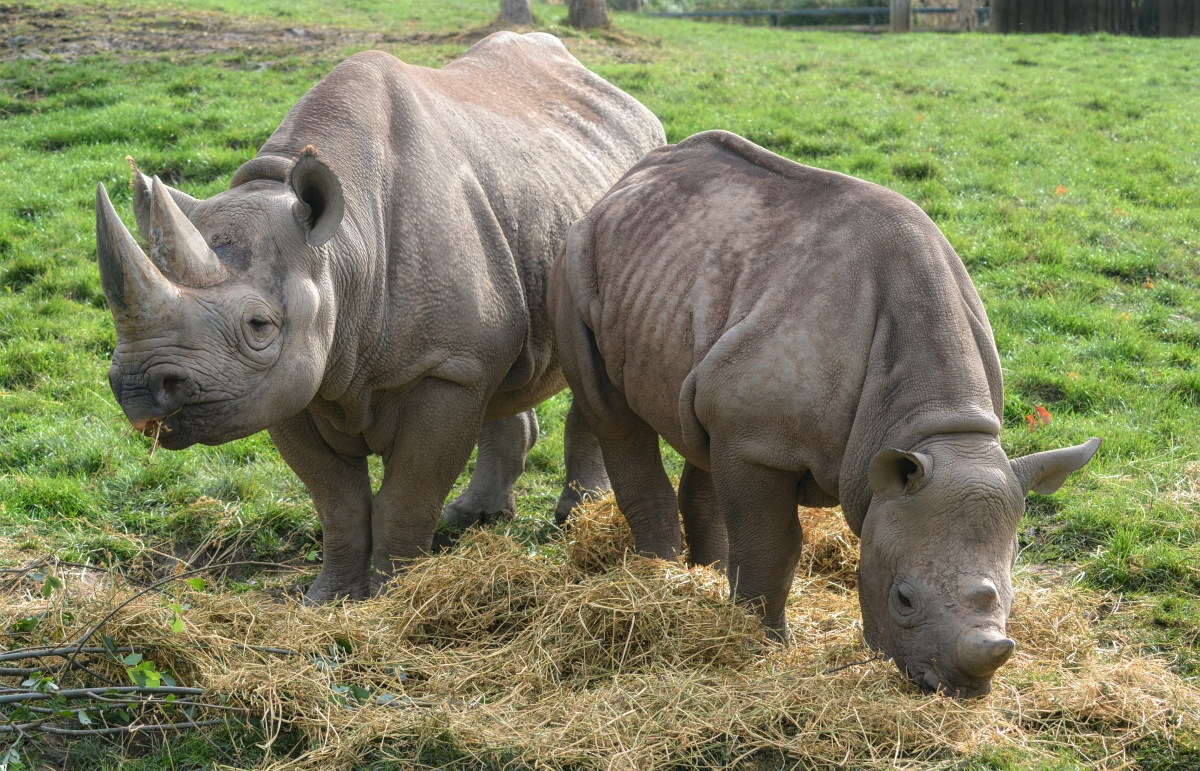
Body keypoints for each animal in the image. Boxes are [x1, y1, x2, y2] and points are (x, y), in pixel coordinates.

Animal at [95, 32, 665, 600]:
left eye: (259, 326)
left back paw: (576, 517)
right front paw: (330, 598)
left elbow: (407, 497)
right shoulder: (288, 384)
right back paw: (475, 517)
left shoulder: (440, 368)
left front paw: (396, 596)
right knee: (501, 372)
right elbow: (338, 503)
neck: (341, 251)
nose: (138, 390)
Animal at [550, 130, 1101, 697]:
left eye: (1010, 592)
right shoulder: (759, 444)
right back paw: (656, 579)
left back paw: (704, 576)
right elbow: (773, 546)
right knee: (613, 414)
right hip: (574, 256)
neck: (934, 428)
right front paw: (764, 645)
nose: (961, 688)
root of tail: (627, 180)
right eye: (903, 599)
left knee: (698, 428)